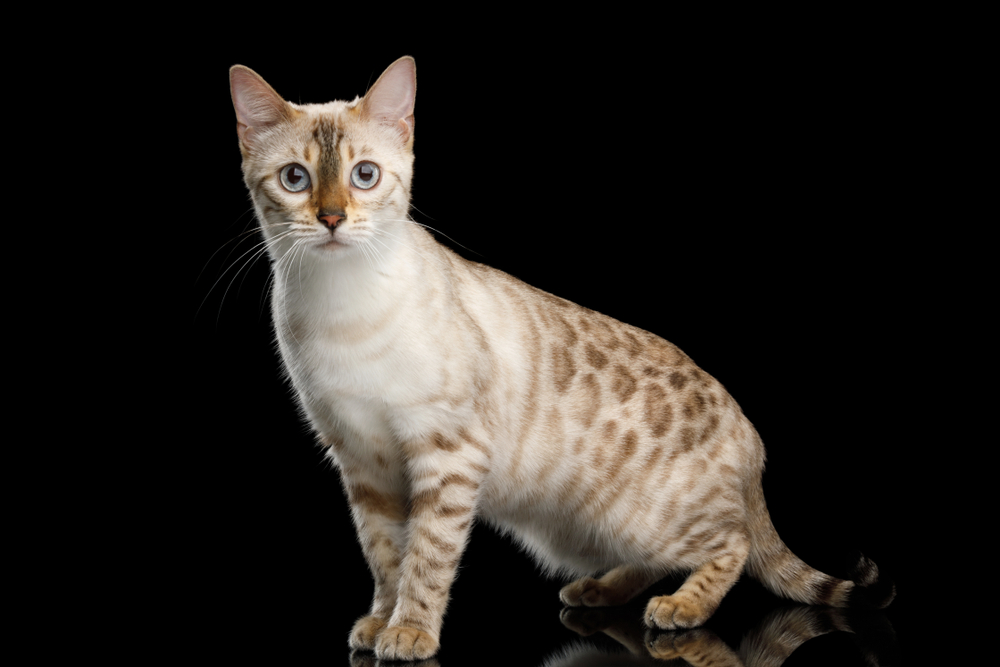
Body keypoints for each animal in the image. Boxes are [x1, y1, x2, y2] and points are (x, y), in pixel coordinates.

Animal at [230, 57, 896, 664]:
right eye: (295, 178)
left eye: (364, 175)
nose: (332, 218)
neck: (339, 304)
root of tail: (747, 428)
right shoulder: (362, 461)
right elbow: (385, 555)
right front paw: (379, 621)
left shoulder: (446, 453)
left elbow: (428, 556)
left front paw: (412, 631)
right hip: (580, 532)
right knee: (659, 559)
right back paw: (598, 591)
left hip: (642, 515)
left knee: (728, 544)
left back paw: (681, 608)